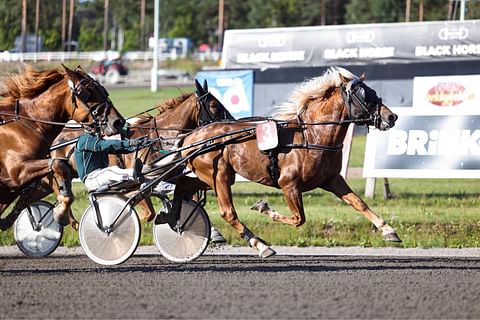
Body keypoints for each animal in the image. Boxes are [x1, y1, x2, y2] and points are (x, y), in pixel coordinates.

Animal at [0, 65, 125, 230]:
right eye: (88, 92)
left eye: (104, 90)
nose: (118, 122)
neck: (31, 122)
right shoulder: (17, 170)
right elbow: (59, 164)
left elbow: (59, 172)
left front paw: (62, 212)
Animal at [174, 67, 400, 258]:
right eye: (364, 95)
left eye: (372, 91)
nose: (392, 116)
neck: (312, 136)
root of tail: (190, 137)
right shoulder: (289, 184)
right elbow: (299, 219)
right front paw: (264, 208)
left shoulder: (332, 180)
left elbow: (359, 203)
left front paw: (388, 230)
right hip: (218, 174)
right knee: (227, 212)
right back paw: (260, 245)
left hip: (213, 176)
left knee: (184, 189)